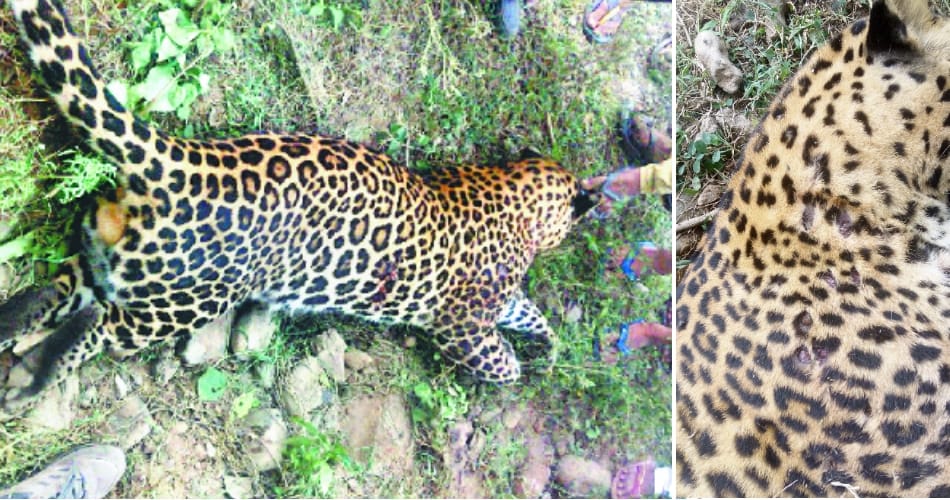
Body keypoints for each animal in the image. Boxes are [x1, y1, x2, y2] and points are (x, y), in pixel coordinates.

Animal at [0, 0, 599, 417]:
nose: (590, 201)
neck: (512, 194)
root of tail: (181, 159)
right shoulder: (465, 327)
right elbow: (500, 360)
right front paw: (524, 365)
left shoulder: (501, 302)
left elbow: (527, 312)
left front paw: (550, 344)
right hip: (178, 304)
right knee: (98, 327)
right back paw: (33, 380)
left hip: (110, 260)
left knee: (56, 291)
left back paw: (17, 337)